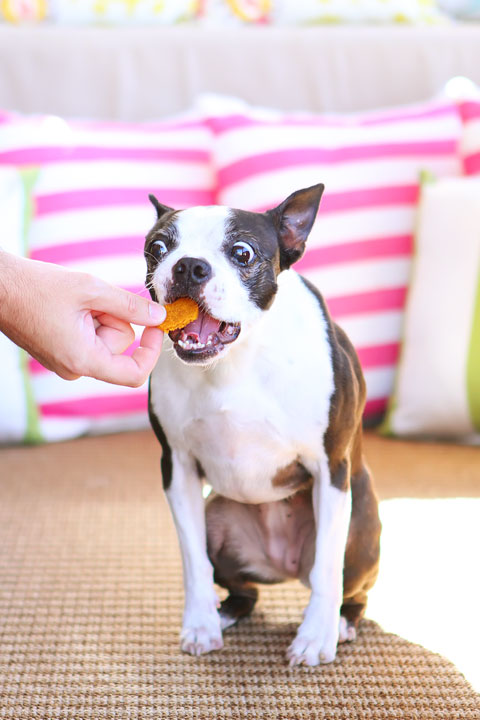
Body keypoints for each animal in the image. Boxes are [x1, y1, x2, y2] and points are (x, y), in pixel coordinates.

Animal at [144, 183, 380, 668]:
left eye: (242, 253)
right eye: (157, 248)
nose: (188, 265)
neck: (235, 360)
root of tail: (282, 565)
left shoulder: (331, 467)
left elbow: (327, 568)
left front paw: (315, 638)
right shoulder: (176, 467)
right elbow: (193, 562)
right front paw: (199, 624)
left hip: (358, 533)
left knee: (351, 588)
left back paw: (341, 623)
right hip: (219, 520)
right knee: (243, 589)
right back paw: (226, 613)